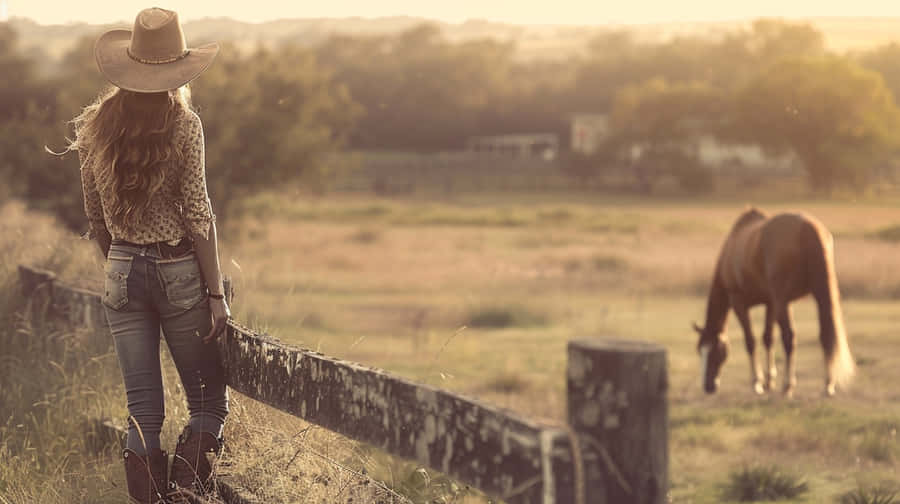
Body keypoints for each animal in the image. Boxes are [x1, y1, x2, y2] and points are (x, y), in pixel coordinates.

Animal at [694, 207, 855, 397]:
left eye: (714, 351)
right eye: (699, 350)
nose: (708, 386)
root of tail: (808, 229)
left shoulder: (739, 302)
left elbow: (750, 341)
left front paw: (757, 383)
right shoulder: (770, 303)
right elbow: (768, 338)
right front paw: (769, 381)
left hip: (783, 300)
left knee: (789, 337)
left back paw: (788, 385)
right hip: (816, 295)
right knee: (825, 335)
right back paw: (828, 384)